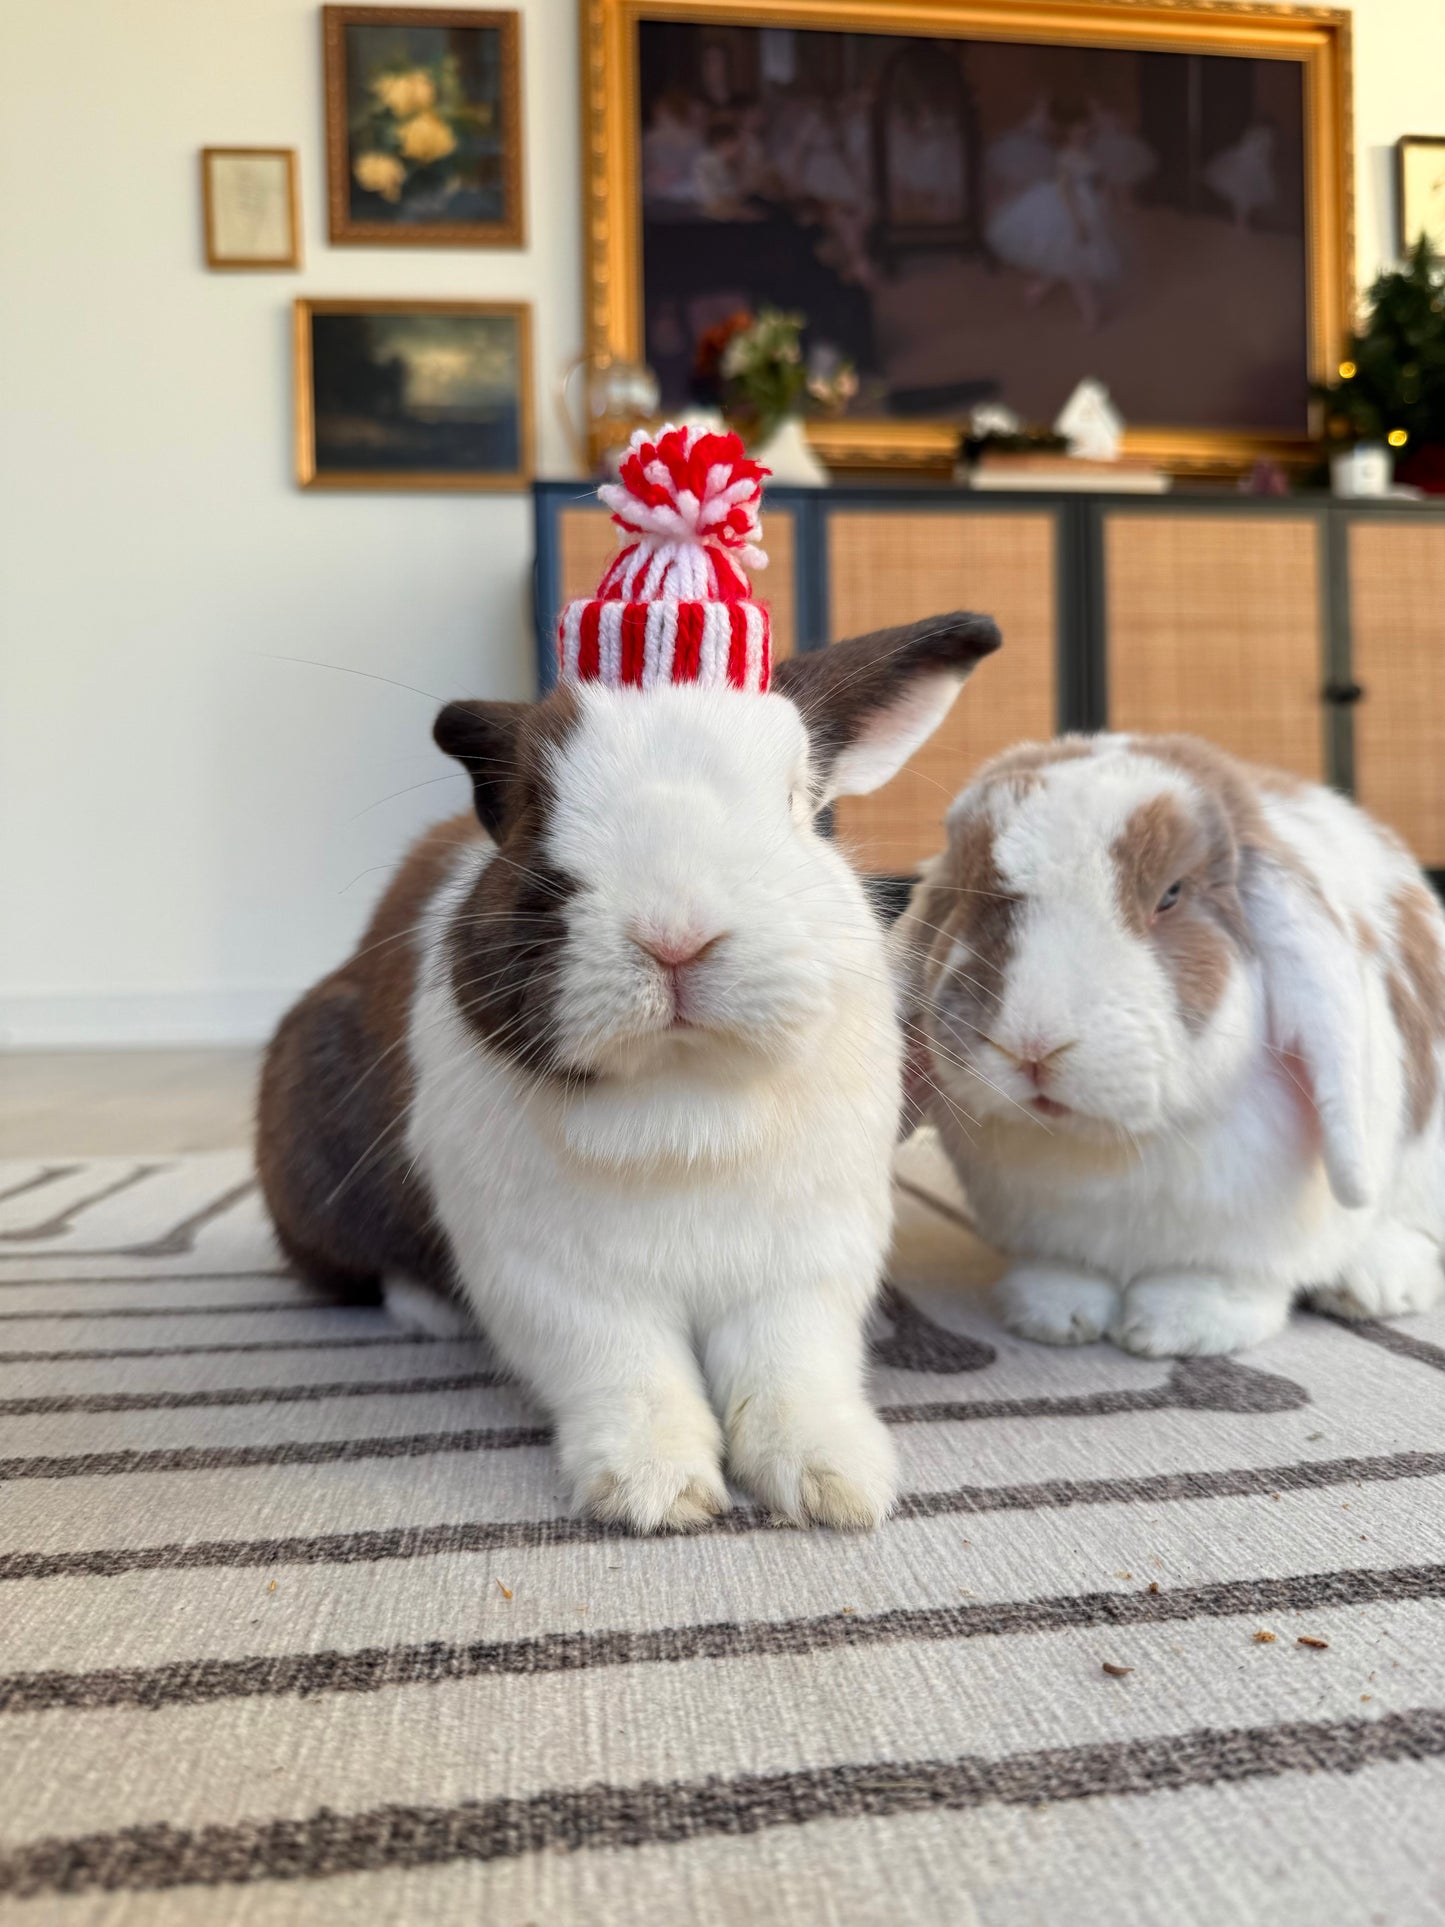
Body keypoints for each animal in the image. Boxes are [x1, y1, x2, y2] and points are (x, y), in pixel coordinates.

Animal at [258, 608, 1009, 1526]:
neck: (681, 1090)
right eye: (532, 805)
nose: (674, 933)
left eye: (797, 801)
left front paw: (834, 1483)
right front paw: (655, 1489)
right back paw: (428, 1309)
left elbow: (792, 1370)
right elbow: (627, 1374)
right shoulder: (555, 1280)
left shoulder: (803, 1265)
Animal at [893, 732, 1445, 1356]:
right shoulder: (1054, 1234)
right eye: (967, 891)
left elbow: (1217, 1279)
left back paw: (1372, 1286)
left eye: (1171, 895)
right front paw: (1053, 1316)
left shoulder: (1241, 1243)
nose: (1032, 1046)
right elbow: (1067, 1272)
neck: (1107, 1146)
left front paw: (1179, 1330)